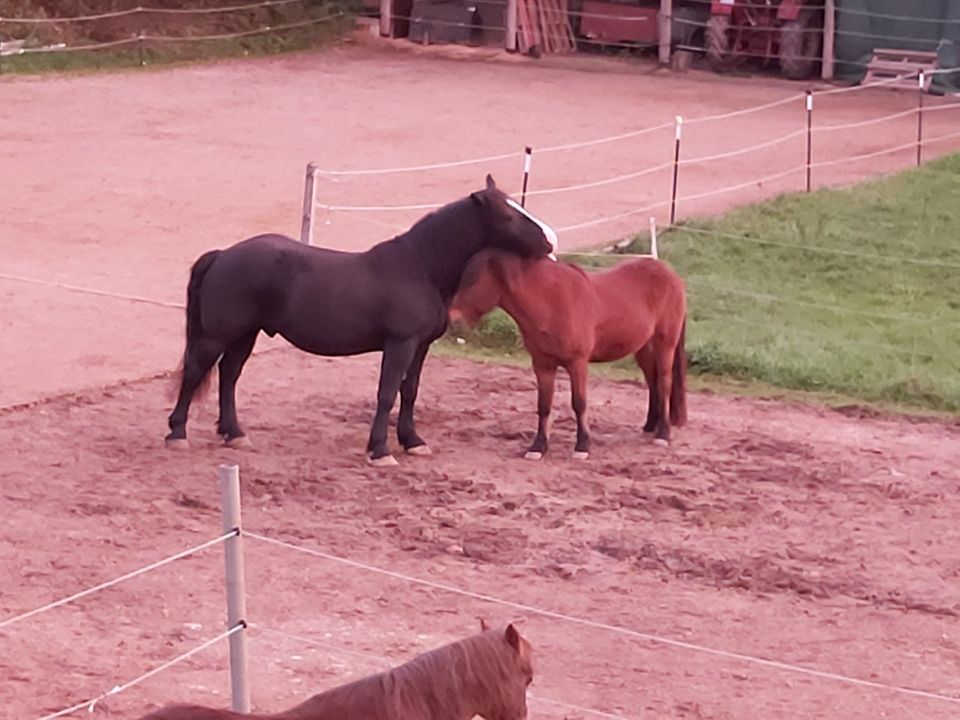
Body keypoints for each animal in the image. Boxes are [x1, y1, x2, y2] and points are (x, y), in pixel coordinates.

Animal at [165, 177, 556, 464]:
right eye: (508, 217)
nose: (549, 242)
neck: (420, 267)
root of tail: (224, 255)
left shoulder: (420, 347)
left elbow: (409, 392)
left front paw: (413, 441)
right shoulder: (400, 344)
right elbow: (386, 392)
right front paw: (380, 450)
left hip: (246, 333)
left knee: (229, 375)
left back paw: (234, 434)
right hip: (219, 334)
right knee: (196, 371)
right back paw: (177, 434)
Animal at [452, 250, 688, 458]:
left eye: (473, 281)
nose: (452, 317)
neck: (551, 302)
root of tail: (671, 275)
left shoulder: (577, 364)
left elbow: (579, 403)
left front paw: (582, 446)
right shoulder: (543, 365)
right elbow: (544, 405)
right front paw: (538, 447)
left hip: (664, 345)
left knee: (664, 383)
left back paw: (663, 434)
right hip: (643, 348)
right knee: (652, 382)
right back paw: (650, 425)